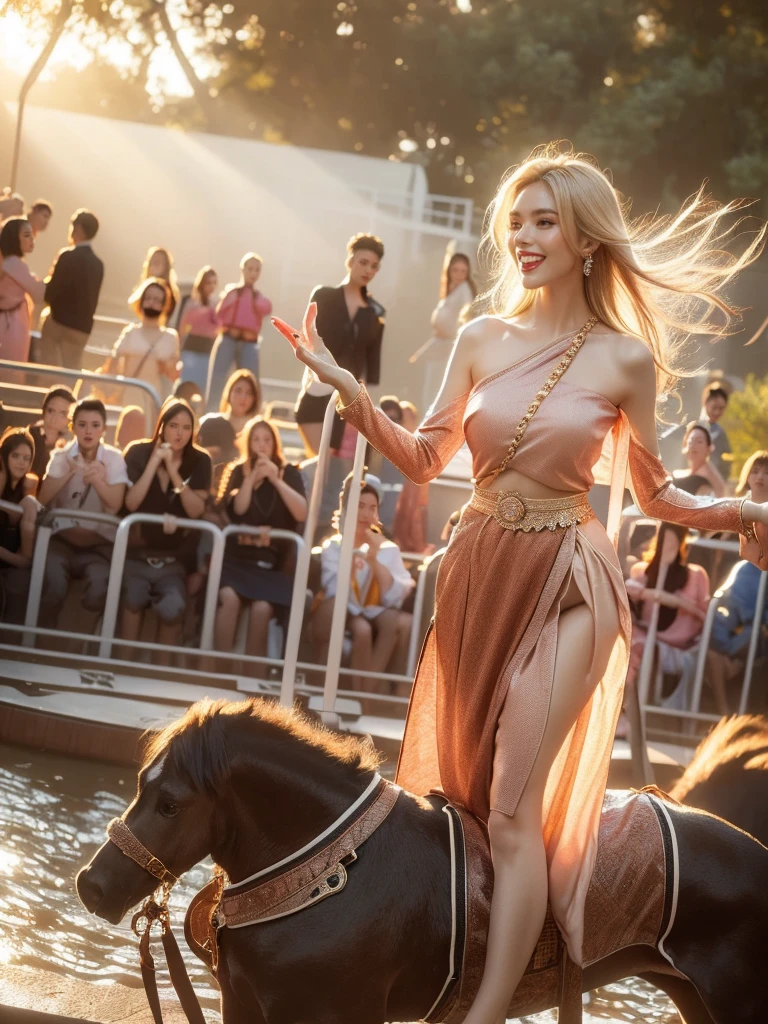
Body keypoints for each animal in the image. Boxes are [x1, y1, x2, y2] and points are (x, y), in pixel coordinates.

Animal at [76, 700, 768, 1024]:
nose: (92, 885)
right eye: (138, 785)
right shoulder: (246, 1008)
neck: (331, 868)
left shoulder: (342, 1015)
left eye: (169, 803)